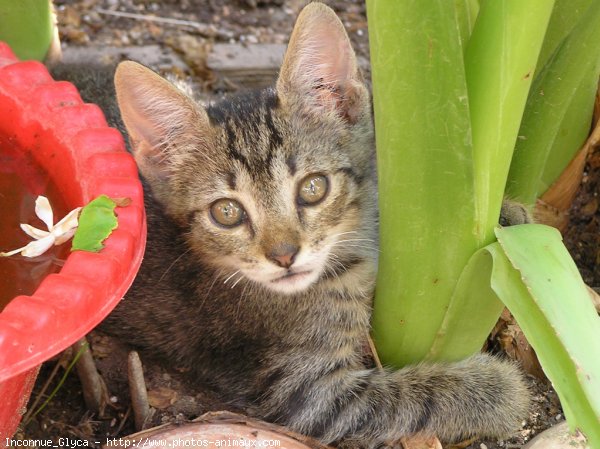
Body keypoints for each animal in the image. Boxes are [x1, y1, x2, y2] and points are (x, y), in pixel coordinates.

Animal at [99, 2, 528, 444]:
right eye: (226, 212)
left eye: (313, 188)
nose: (284, 256)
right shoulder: (308, 394)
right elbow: (407, 401)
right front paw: (496, 390)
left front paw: (508, 218)